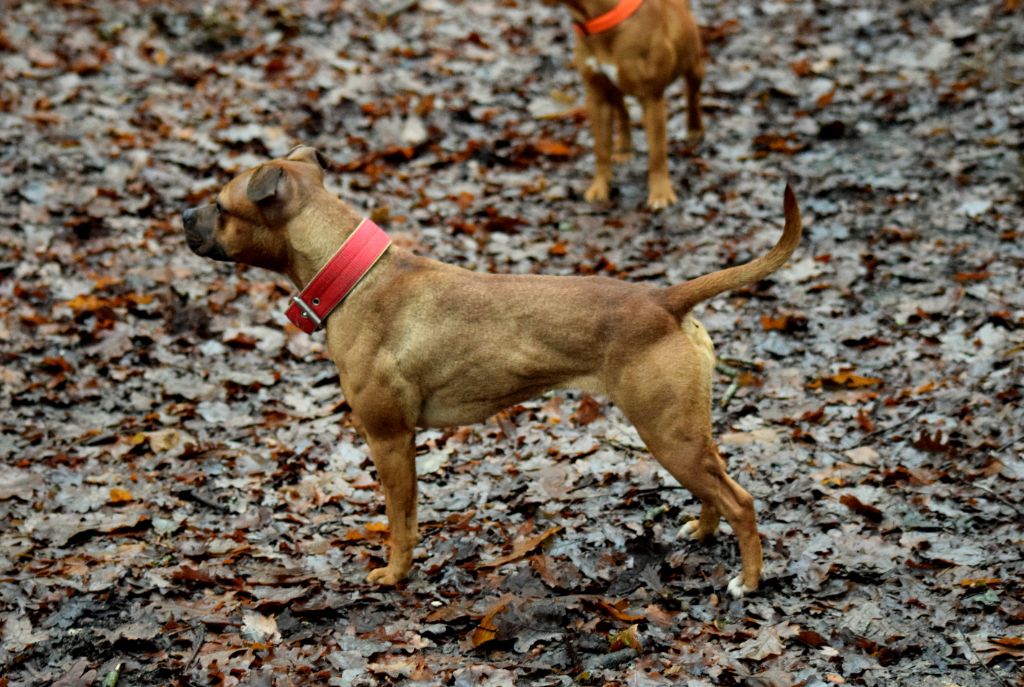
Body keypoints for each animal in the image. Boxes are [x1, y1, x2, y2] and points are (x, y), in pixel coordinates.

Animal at [180, 147, 794, 597]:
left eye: (220, 206)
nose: (182, 215)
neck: (352, 275)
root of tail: (665, 301)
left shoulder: (389, 440)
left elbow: (399, 521)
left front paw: (394, 576)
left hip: (667, 434)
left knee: (741, 501)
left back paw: (749, 581)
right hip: (686, 432)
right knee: (718, 488)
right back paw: (704, 531)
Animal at [552, 0, 704, 209]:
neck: (601, 19)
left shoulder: (652, 98)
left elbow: (657, 153)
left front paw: (660, 193)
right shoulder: (597, 96)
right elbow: (601, 148)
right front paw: (600, 187)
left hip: (694, 65)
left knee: (692, 95)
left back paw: (695, 129)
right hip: (614, 89)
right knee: (623, 112)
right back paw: (624, 147)